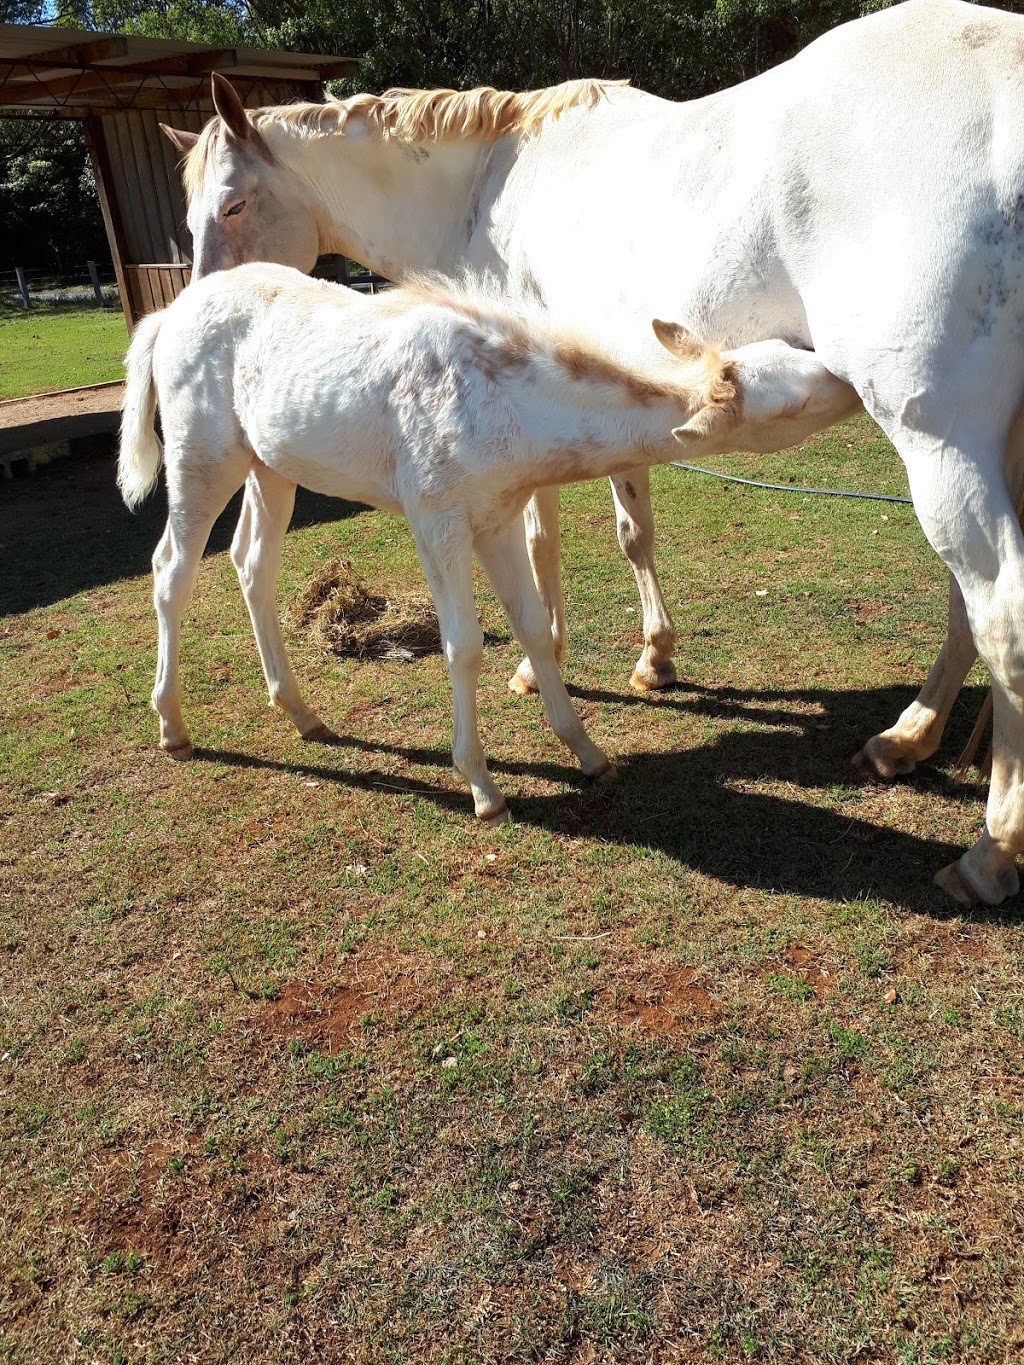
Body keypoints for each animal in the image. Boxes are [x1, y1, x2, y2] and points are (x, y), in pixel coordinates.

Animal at [118, 266, 851, 819]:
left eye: (797, 354)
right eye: (793, 401)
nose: (849, 379)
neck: (507, 409)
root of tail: (166, 316)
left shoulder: (497, 517)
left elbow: (532, 627)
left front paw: (589, 753)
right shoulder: (435, 519)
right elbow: (464, 646)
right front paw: (482, 785)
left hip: (271, 465)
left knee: (252, 563)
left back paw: (302, 713)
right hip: (201, 457)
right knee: (170, 569)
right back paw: (172, 726)